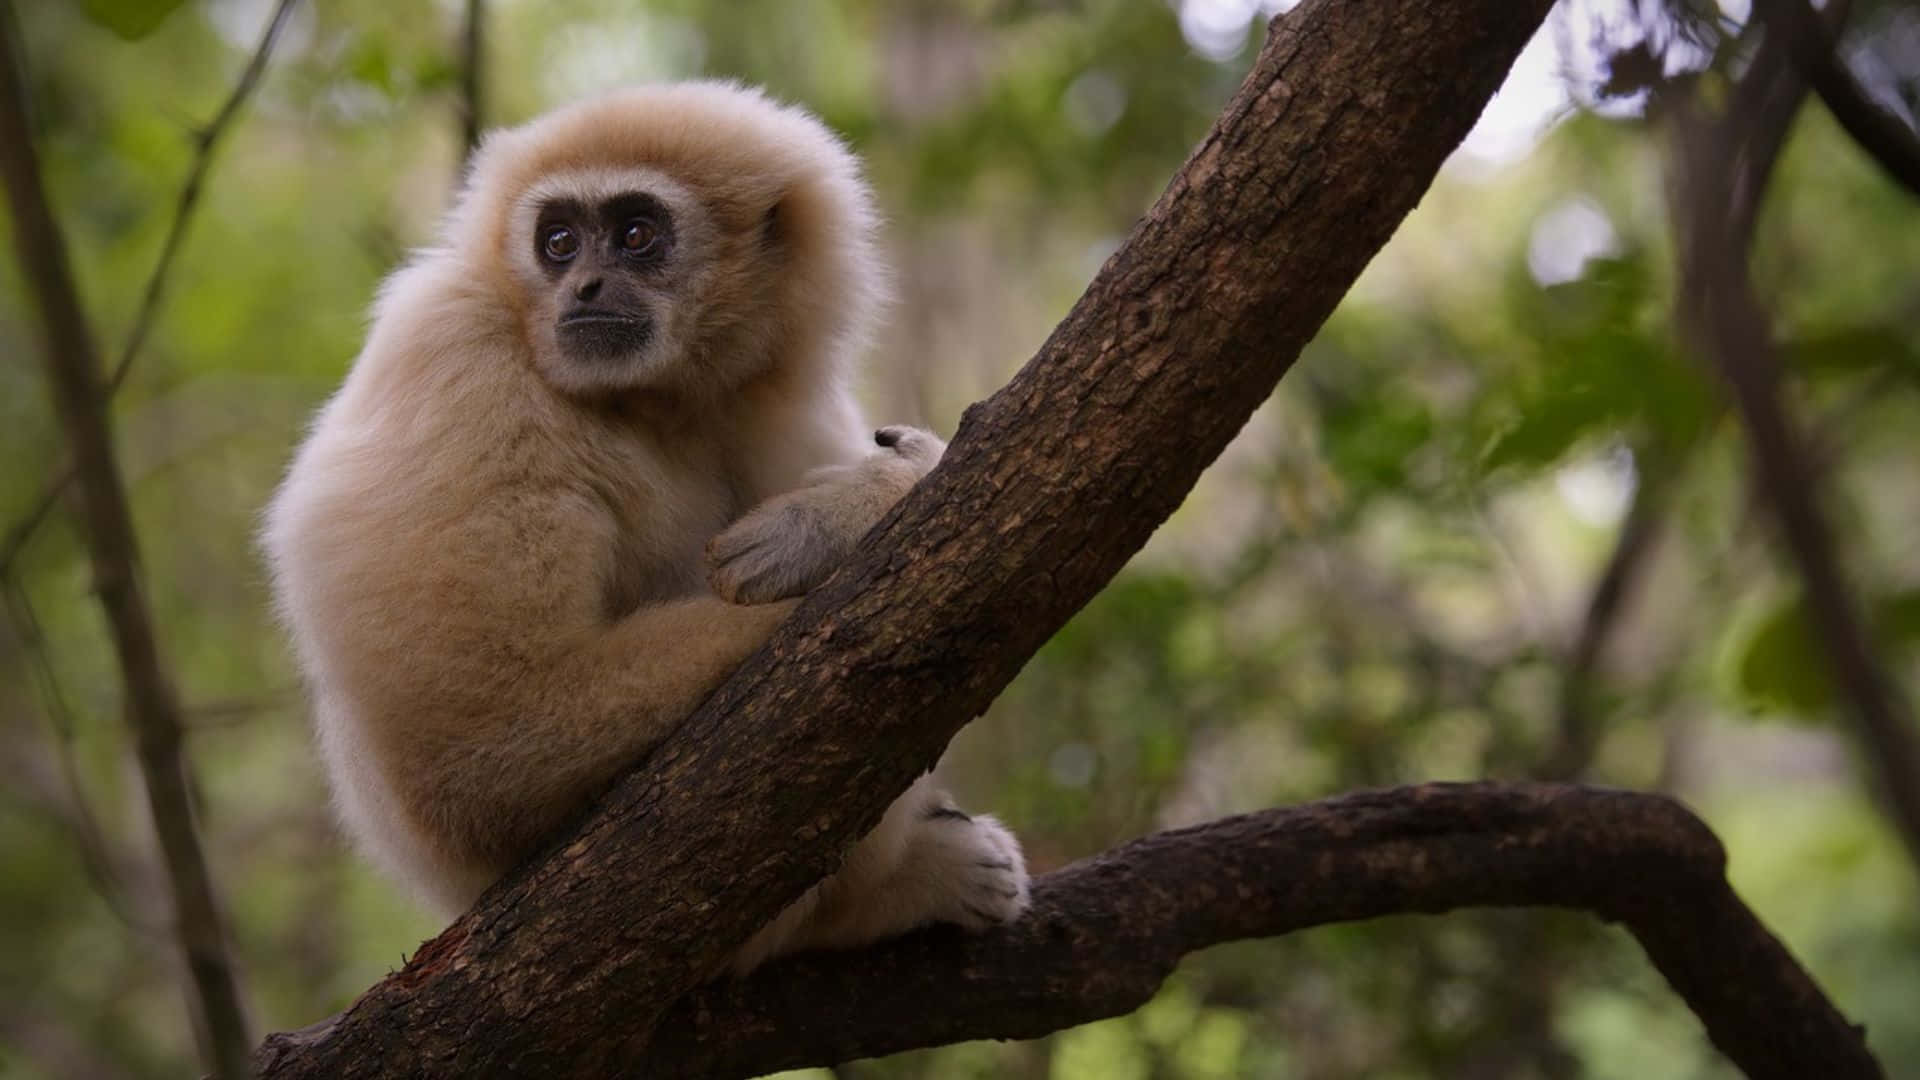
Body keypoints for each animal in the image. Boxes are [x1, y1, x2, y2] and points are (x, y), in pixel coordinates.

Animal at [261, 81, 1028, 972]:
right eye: (558, 242)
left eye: (636, 235)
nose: (588, 285)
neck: (650, 399)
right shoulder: (451, 359)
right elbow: (481, 740)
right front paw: (858, 516)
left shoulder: (768, 389)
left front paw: (837, 513)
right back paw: (892, 893)